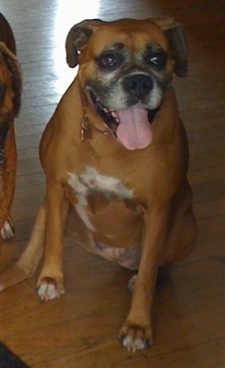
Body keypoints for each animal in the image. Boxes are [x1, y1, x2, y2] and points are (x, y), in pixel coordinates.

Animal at [0, 18, 197, 350]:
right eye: (109, 59)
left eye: (157, 58)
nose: (139, 82)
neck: (107, 137)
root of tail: (111, 253)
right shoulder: (57, 188)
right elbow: (52, 240)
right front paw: (51, 279)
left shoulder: (158, 210)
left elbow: (147, 274)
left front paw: (138, 325)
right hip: (48, 206)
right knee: (33, 248)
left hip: (185, 227)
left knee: (157, 263)